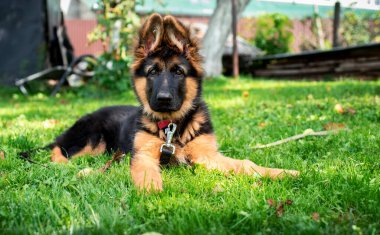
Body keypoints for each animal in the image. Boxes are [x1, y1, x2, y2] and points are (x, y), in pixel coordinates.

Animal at [47, 13, 298, 191]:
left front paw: (281, 173)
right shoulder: (143, 154)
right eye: (152, 72)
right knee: (58, 149)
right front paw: (151, 194)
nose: (164, 99)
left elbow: (245, 163)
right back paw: (61, 164)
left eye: (178, 72)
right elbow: (146, 172)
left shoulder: (207, 156)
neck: (172, 127)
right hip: (92, 139)